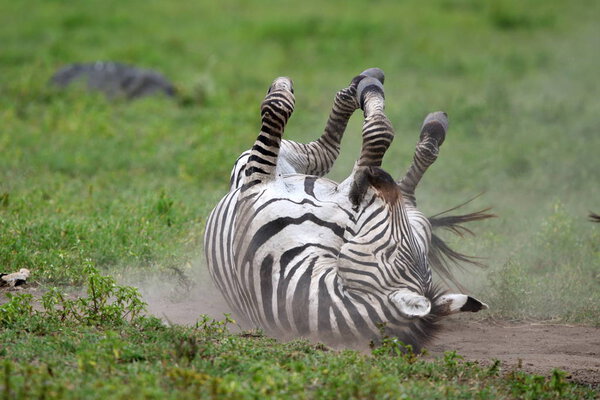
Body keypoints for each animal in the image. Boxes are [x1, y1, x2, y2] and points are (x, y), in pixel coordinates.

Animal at [205, 72, 492, 350]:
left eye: (393, 251)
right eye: (403, 248)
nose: (380, 178)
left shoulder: (257, 185)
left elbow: (281, 109)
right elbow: (377, 142)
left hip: (261, 164)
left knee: (320, 147)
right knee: (353, 164)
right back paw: (378, 92)